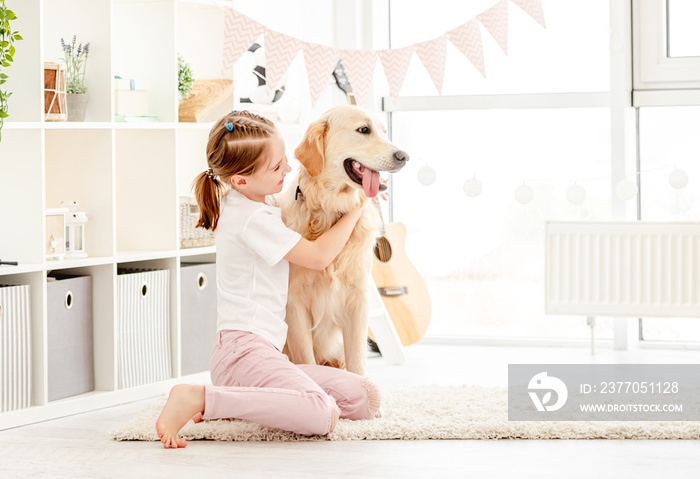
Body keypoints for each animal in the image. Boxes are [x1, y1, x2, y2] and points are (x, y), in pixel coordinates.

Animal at [280, 107, 410, 376]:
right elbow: (307, 360)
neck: (329, 211)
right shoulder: (294, 303)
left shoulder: (357, 300)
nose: (404, 156)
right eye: (363, 130)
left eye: (384, 131)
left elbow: (358, 363)